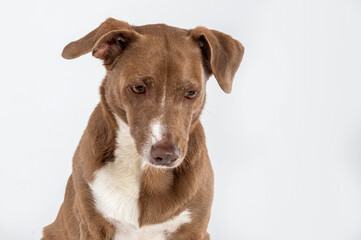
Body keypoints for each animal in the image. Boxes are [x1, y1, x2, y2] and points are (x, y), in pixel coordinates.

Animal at [43, 18, 245, 240]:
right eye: (138, 88)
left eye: (192, 93)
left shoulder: (194, 229)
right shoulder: (92, 225)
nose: (166, 154)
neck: (144, 172)